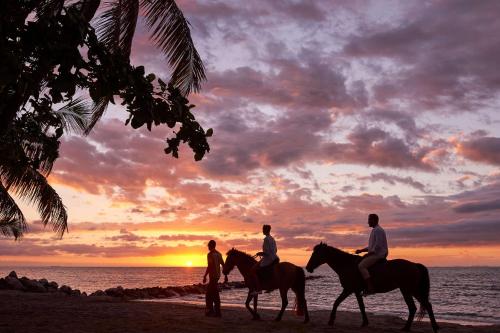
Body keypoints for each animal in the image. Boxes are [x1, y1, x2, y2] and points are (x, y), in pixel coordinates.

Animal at [304, 241, 438, 332]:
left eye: (316, 253)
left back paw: (406, 328)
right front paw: (365, 323)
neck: (347, 265)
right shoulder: (356, 291)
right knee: (426, 305)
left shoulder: (349, 289)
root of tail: (414, 265)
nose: (308, 268)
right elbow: (361, 307)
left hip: (407, 290)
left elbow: (336, 302)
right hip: (412, 290)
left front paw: (331, 320)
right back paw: (434, 327)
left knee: (414, 307)